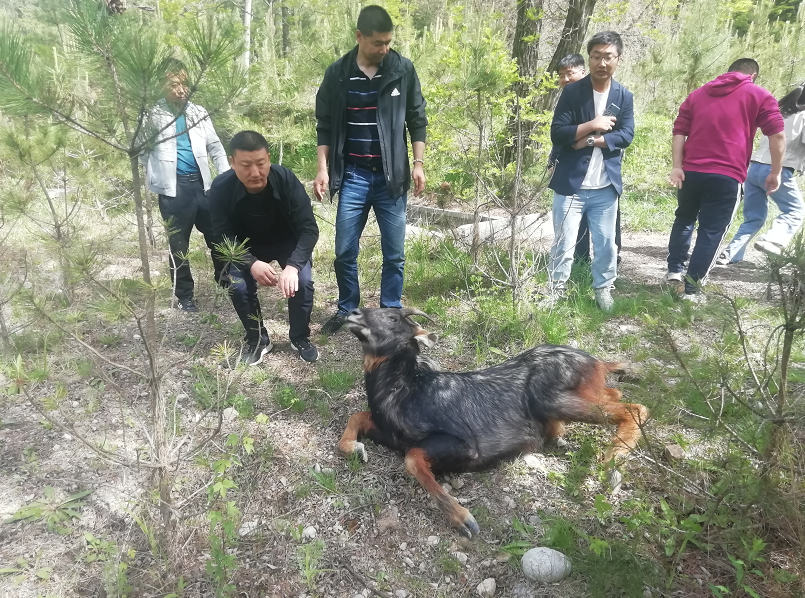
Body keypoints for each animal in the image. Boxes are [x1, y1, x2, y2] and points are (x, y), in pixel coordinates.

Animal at [338, 310, 648, 540]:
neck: (402, 392)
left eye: (392, 317)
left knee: (635, 408)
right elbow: (357, 416)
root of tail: (599, 362)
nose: (353, 312)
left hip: (550, 397)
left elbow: (412, 458)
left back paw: (612, 464)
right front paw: (355, 448)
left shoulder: (465, 443)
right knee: (615, 394)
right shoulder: (389, 432)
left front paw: (463, 519)